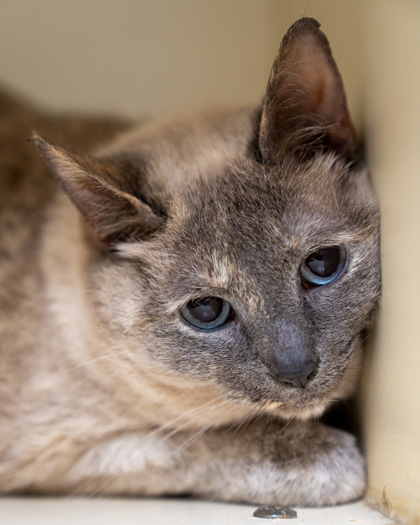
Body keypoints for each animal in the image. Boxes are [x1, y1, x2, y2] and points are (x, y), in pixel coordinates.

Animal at [0, 18, 380, 506]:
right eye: (206, 311)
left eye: (323, 265)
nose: (297, 370)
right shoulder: (65, 450)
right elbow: (189, 441)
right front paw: (326, 460)